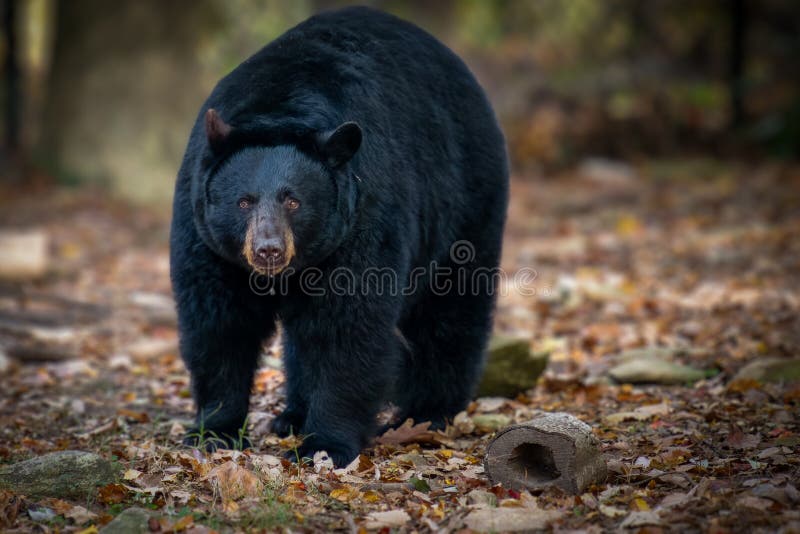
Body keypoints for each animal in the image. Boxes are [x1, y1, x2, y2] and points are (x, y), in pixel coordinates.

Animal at [171, 5, 510, 468]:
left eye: (293, 201)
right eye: (243, 201)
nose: (268, 250)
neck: (282, 106)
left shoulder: (363, 221)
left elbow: (348, 329)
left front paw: (325, 444)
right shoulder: (207, 240)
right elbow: (218, 323)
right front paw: (213, 431)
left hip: (465, 200)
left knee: (450, 311)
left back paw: (427, 413)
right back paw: (291, 416)